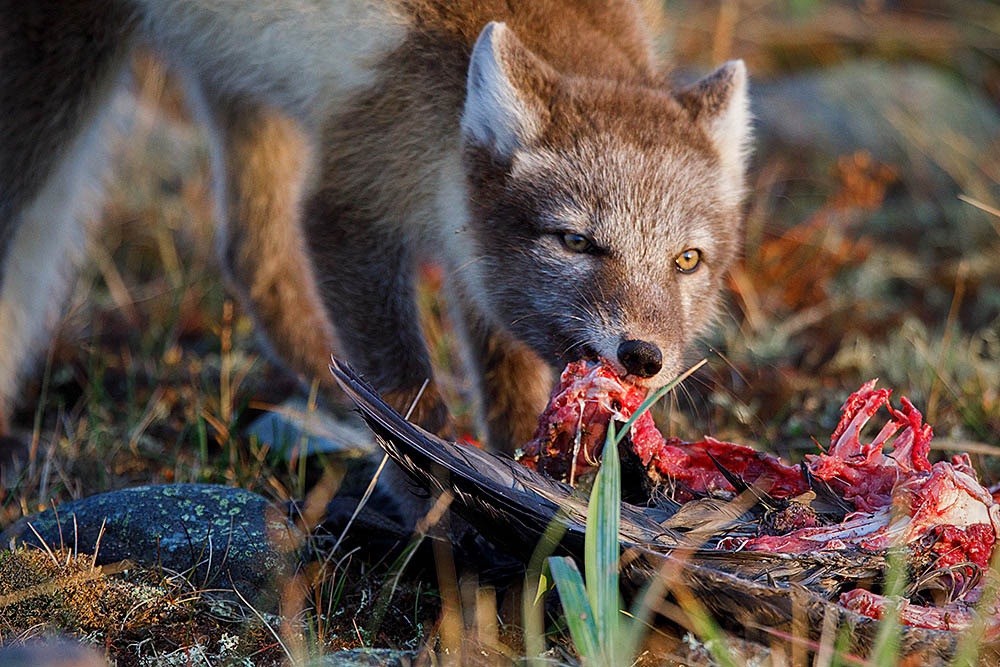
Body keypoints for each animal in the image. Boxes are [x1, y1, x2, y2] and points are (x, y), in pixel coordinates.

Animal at [0, 2, 752, 452]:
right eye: (576, 241)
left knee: (251, 255)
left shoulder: (467, 249)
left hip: (244, 87)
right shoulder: (349, 205)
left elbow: (507, 378)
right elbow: (406, 393)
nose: (644, 357)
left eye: (688, 260)